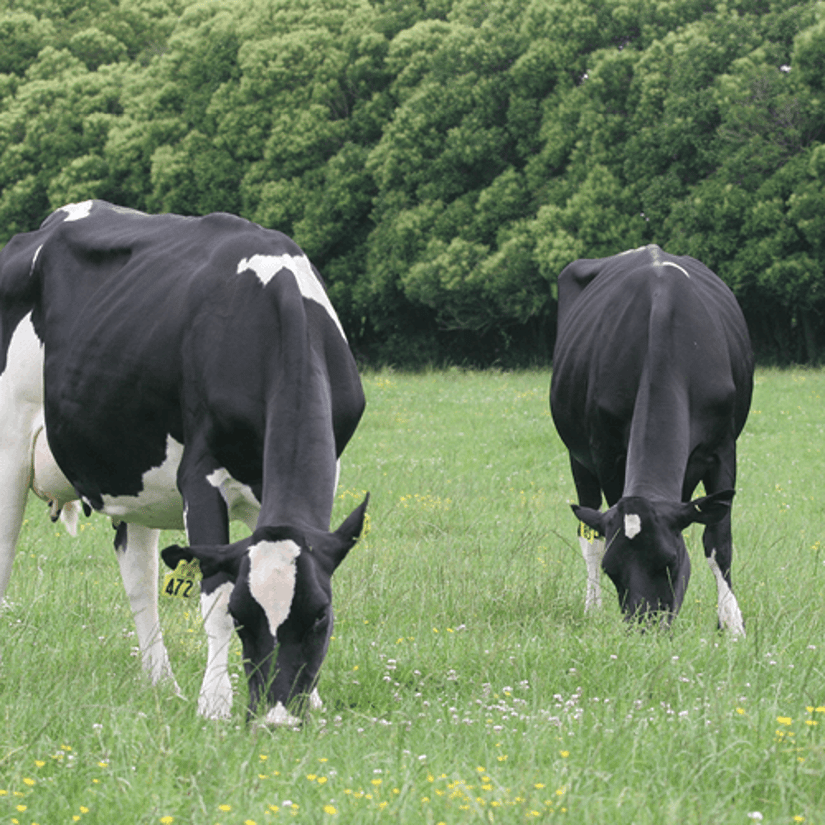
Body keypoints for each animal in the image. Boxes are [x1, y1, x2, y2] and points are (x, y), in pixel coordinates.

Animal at [0, 200, 368, 725]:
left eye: (321, 615)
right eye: (242, 618)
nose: (276, 717)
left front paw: (313, 701)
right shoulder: (201, 473)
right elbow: (212, 596)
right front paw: (214, 704)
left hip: (132, 470)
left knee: (139, 577)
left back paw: (162, 684)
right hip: (9, 444)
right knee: (5, 554)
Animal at [550, 244, 752, 633]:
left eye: (669, 562)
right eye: (614, 572)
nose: (644, 629)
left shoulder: (723, 449)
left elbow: (718, 540)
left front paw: (732, 624)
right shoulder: (606, 453)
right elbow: (602, 530)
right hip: (577, 458)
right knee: (588, 533)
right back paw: (592, 608)